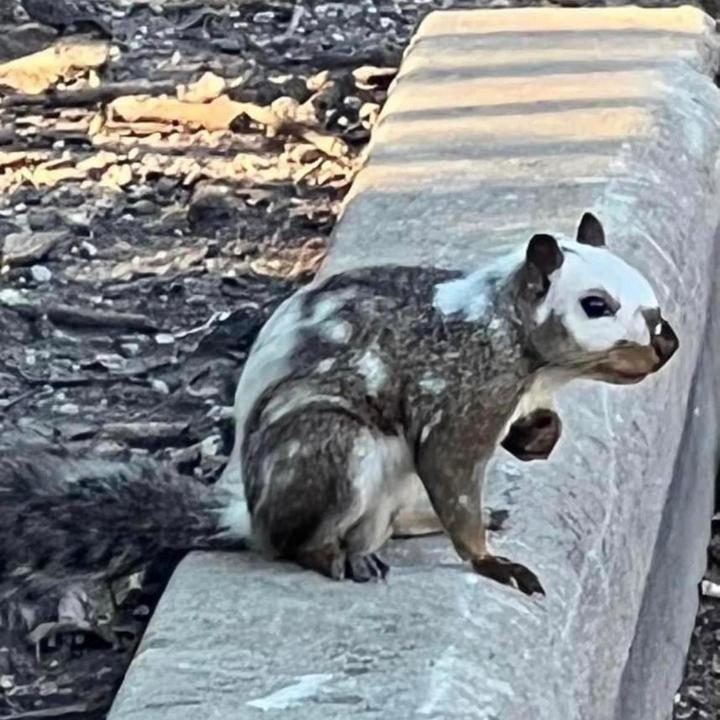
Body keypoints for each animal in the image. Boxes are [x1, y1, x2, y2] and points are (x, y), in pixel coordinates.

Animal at [0, 210, 676, 608]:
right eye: (595, 305)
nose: (666, 342)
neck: (511, 334)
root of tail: (249, 517)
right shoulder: (458, 397)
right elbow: (453, 477)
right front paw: (489, 561)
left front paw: (541, 436)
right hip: (335, 447)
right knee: (299, 542)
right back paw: (334, 556)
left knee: (394, 521)